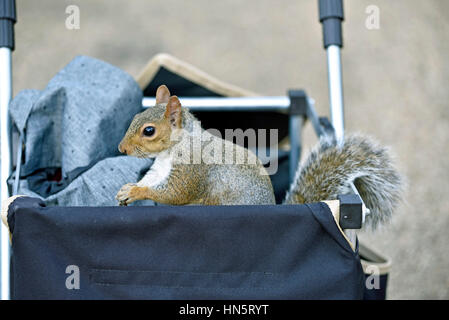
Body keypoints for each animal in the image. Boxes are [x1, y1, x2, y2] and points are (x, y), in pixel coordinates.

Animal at [115, 85, 402, 229]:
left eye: (149, 131)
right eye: (135, 116)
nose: (121, 149)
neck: (172, 150)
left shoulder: (192, 170)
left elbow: (175, 192)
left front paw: (137, 192)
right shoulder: (160, 169)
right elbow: (151, 180)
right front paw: (128, 189)